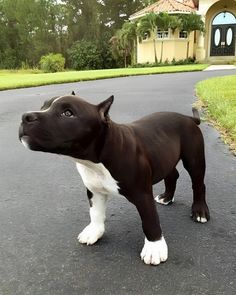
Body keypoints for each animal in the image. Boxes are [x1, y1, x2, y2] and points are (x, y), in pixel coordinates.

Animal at [18, 94, 210, 266]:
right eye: (43, 106)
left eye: (67, 113)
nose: (25, 116)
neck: (95, 161)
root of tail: (187, 118)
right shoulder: (93, 190)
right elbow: (95, 213)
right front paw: (94, 231)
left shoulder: (142, 195)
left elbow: (150, 221)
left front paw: (154, 248)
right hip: (164, 156)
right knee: (172, 174)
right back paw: (167, 197)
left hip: (194, 159)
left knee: (198, 184)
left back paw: (199, 211)